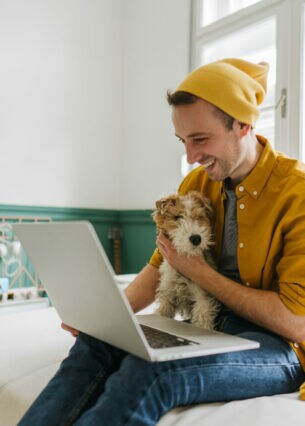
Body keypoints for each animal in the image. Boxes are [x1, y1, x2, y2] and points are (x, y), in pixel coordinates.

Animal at [152, 191, 218, 332]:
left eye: (199, 217)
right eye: (177, 217)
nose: (196, 238)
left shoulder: (201, 298)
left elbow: (202, 320)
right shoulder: (167, 296)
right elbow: (162, 312)